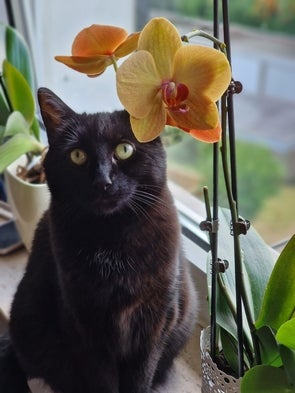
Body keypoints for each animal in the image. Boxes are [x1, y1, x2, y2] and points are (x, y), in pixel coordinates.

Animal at [1, 89, 199, 392]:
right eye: (77, 155)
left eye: (124, 149)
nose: (102, 181)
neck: (113, 237)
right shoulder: (84, 323)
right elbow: (102, 379)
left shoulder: (156, 322)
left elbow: (140, 376)